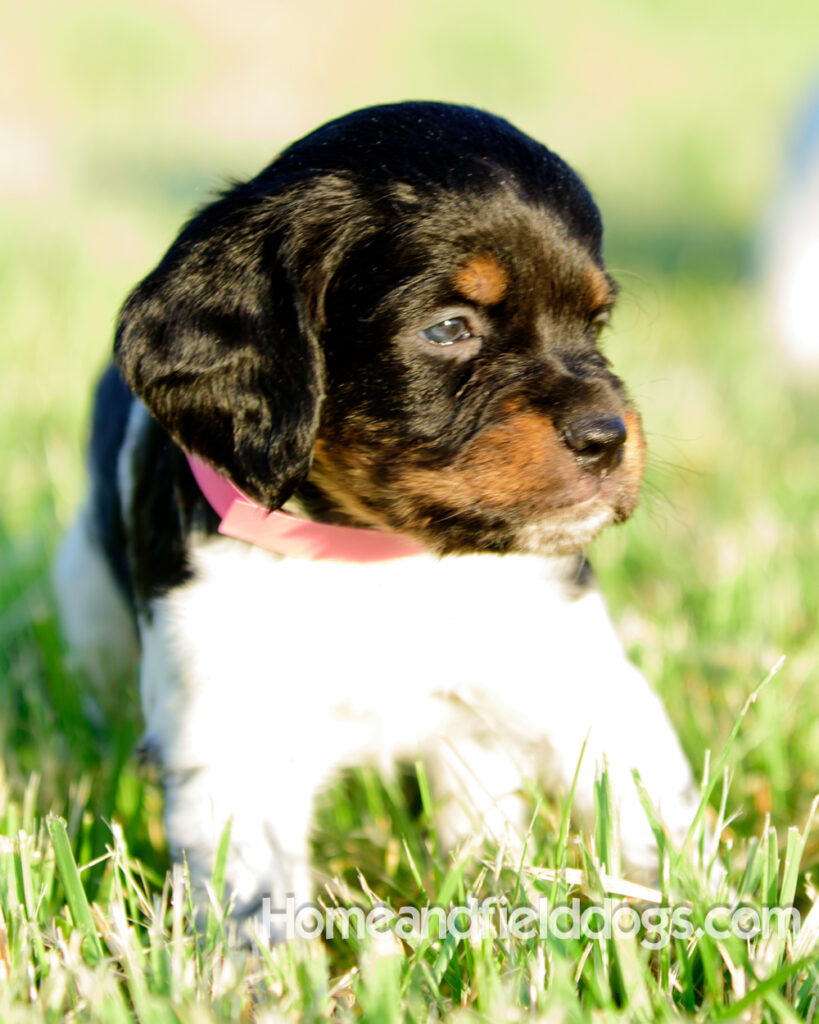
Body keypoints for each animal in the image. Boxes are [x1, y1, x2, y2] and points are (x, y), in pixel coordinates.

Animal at [56, 101, 696, 929]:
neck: (379, 559)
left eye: (596, 323)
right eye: (448, 328)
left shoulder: (578, 679)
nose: (606, 438)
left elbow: (654, 821)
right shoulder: (232, 734)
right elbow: (255, 898)